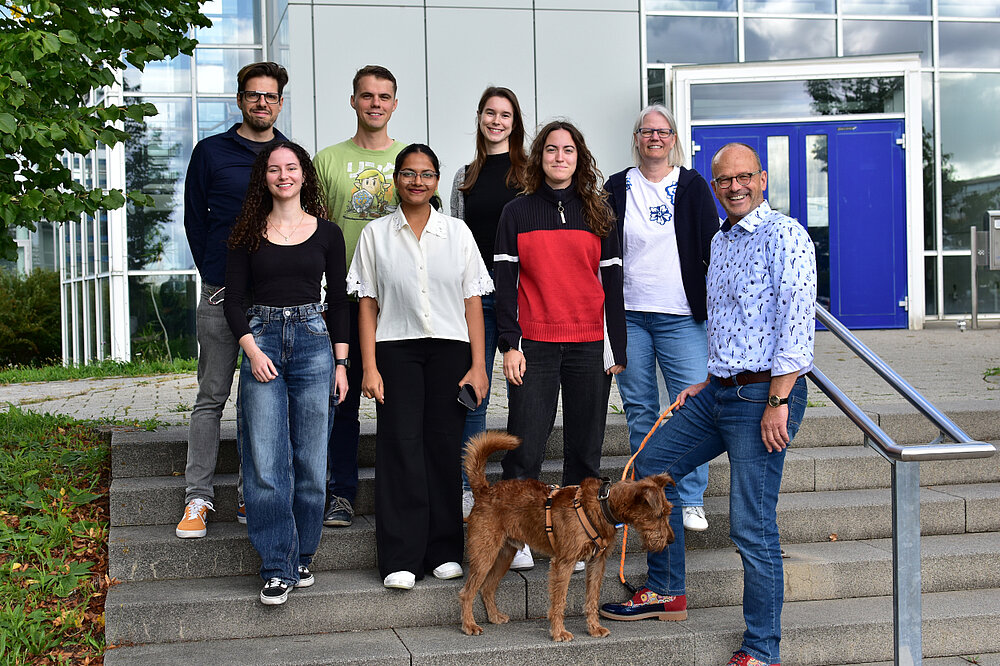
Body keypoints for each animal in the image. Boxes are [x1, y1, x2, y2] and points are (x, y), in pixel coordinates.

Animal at [459, 431, 674, 642]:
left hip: (504, 554)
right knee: (467, 592)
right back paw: (469, 625)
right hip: (485, 554)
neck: (602, 504)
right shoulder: (564, 562)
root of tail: (485, 491)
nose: (671, 540)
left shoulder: (597, 562)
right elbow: (559, 601)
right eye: (659, 515)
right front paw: (559, 632)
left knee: (487, 588)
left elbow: (592, 599)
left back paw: (494, 616)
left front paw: (594, 628)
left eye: (668, 512)